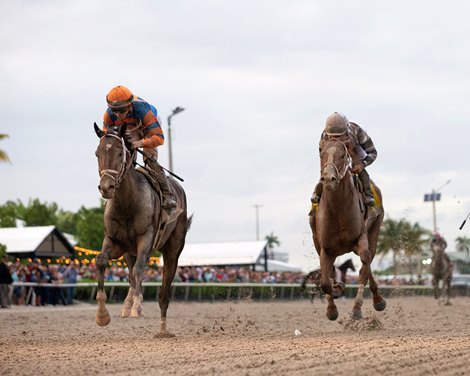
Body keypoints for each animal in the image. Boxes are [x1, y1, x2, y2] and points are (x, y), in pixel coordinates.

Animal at [94, 123, 193, 338]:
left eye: (120, 152)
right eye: (97, 152)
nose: (106, 187)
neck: (127, 203)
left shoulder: (146, 239)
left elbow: (140, 270)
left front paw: (137, 307)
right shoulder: (114, 241)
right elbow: (101, 261)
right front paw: (102, 315)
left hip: (173, 250)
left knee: (163, 294)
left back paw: (163, 329)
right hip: (128, 253)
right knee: (131, 274)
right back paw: (127, 304)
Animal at [308, 138, 386, 320]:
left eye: (343, 155)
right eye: (321, 154)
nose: (328, 179)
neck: (338, 209)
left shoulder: (360, 237)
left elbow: (365, 262)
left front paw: (359, 307)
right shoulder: (325, 248)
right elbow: (325, 282)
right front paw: (333, 304)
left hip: (374, 230)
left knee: (366, 262)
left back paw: (373, 302)